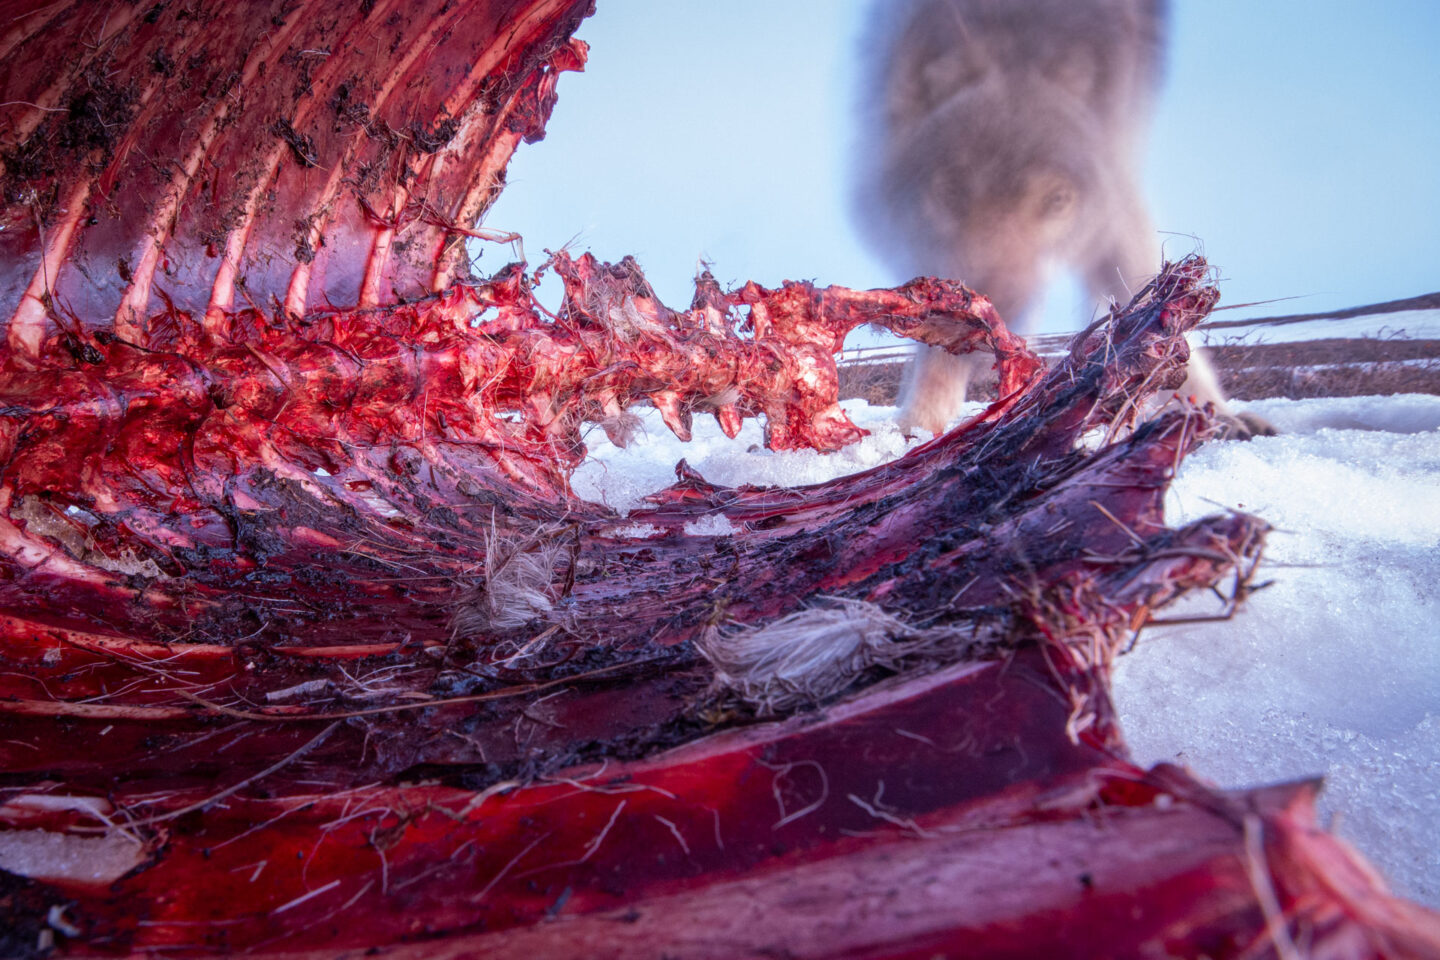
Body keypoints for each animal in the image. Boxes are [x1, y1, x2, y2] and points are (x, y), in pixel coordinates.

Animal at [855, 0, 1271, 438]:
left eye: (1056, 201)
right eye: (951, 191)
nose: (987, 329)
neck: (1016, 24)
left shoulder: (1115, 173)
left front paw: (1214, 411)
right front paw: (920, 423)